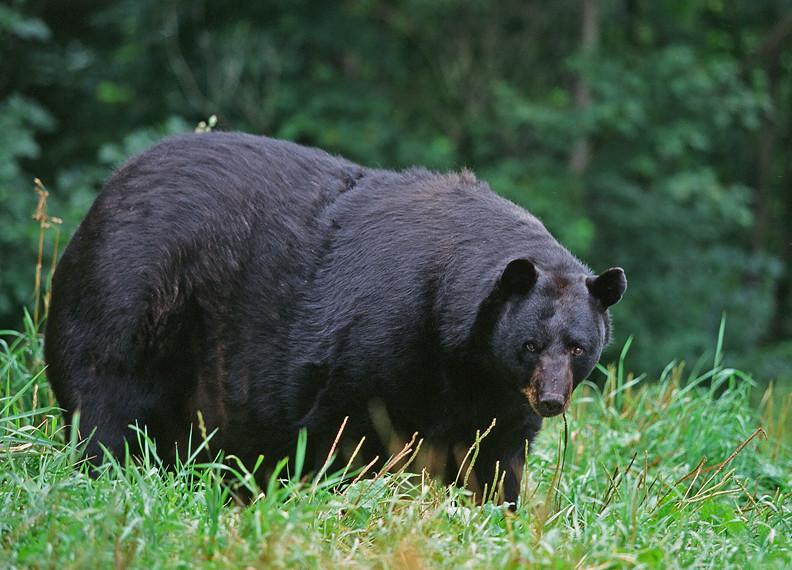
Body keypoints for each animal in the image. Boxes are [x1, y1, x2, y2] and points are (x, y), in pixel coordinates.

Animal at [45, 131, 626, 506]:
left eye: (578, 346)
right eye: (530, 344)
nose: (551, 399)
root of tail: (103, 196)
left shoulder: (495, 394)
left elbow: (498, 457)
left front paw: (499, 510)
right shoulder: (378, 337)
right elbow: (337, 426)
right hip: (129, 291)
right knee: (109, 392)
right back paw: (111, 471)